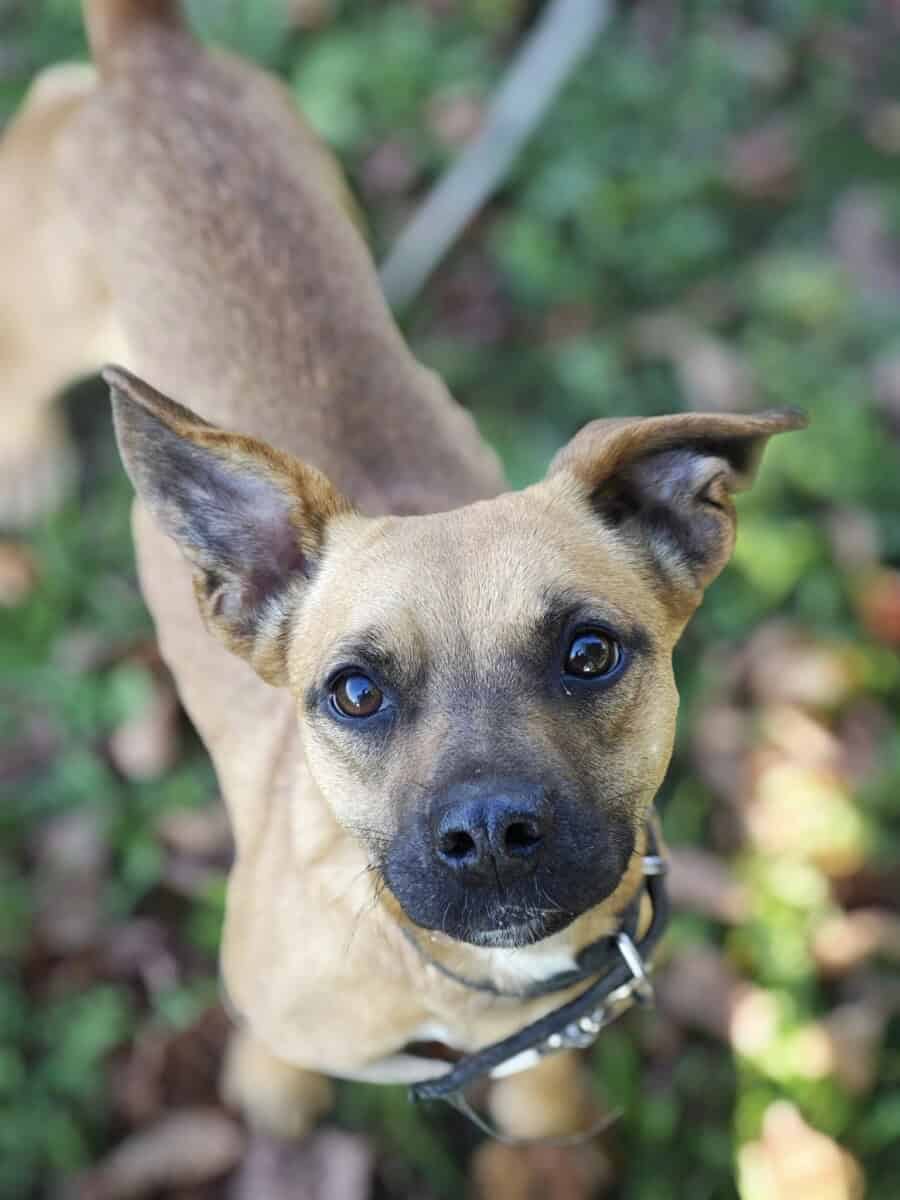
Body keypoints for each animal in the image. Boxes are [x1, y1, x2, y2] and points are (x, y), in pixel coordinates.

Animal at [1, 0, 805, 1154]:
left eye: (590, 653)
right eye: (354, 692)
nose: (491, 834)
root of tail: (144, 50)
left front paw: (549, 1122)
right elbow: (276, 1048)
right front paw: (274, 1093)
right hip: (33, 317)